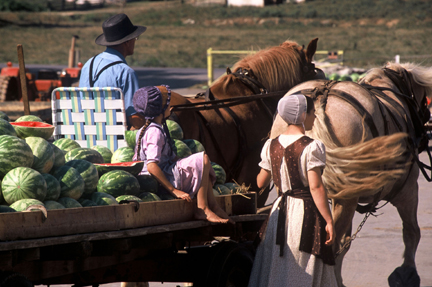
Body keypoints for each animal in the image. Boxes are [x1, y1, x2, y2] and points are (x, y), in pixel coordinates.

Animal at [270, 62, 432, 286]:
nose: (425, 135)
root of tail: (320, 97)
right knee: (332, 245)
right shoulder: (407, 189)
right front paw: (407, 272)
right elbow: (412, 232)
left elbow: (345, 242)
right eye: (424, 101)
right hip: (350, 197)